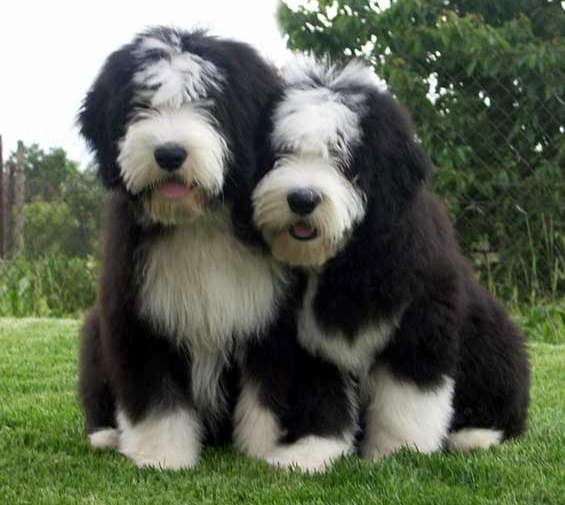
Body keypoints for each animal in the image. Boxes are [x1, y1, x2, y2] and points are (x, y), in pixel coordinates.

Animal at [77, 26, 296, 469]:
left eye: (208, 102)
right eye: (141, 104)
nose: (169, 153)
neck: (197, 222)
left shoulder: (271, 319)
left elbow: (267, 392)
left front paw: (264, 452)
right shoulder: (137, 312)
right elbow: (156, 393)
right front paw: (162, 456)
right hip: (94, 331)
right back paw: (106, 434)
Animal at [245, 56, 530, 470]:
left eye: (344, 158)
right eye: (282, 152)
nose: (302, 199)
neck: (347, 258)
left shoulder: (421, 322)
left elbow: (406, 398)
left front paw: (398, 453)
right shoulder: (311, 341)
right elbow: (321, 396)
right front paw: (310, 452)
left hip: (493, 340)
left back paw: (473, 436)